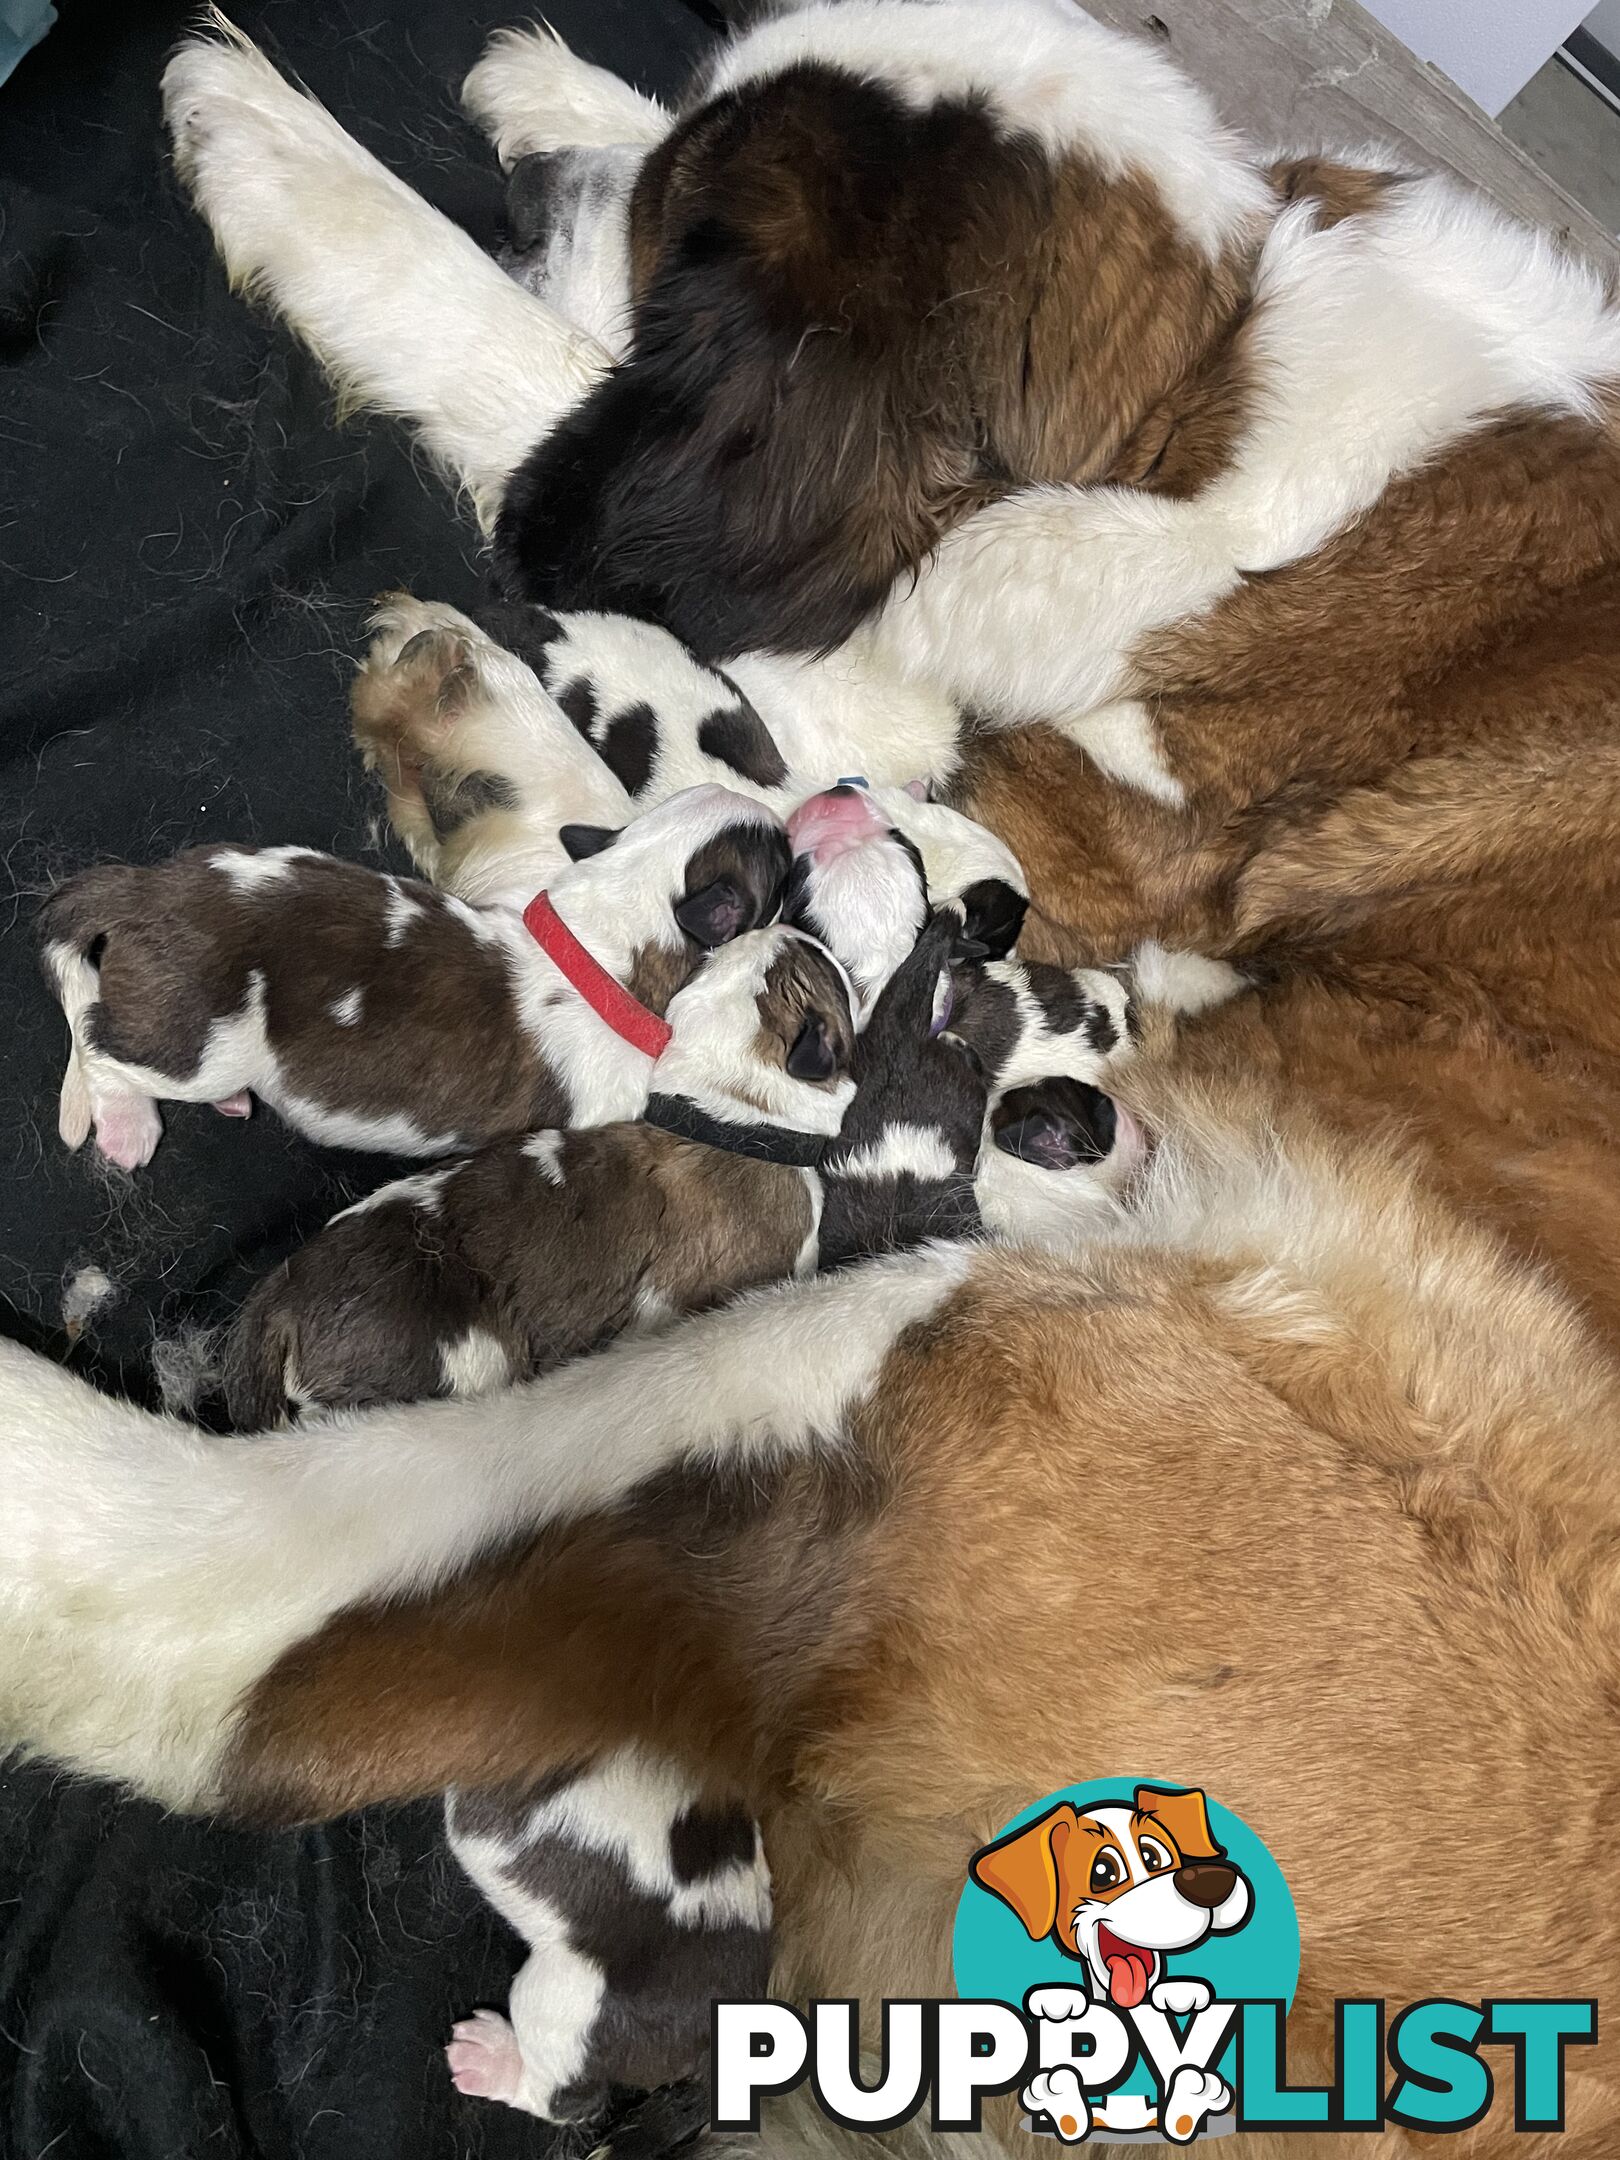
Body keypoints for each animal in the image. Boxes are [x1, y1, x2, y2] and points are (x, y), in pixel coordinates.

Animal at [41, 786, 790, 1175]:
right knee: (105, 1046)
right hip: (198, 1044)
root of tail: (146, 889)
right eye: (781, 863)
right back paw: (128, 1126)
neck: (594, 935)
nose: (786, 826)